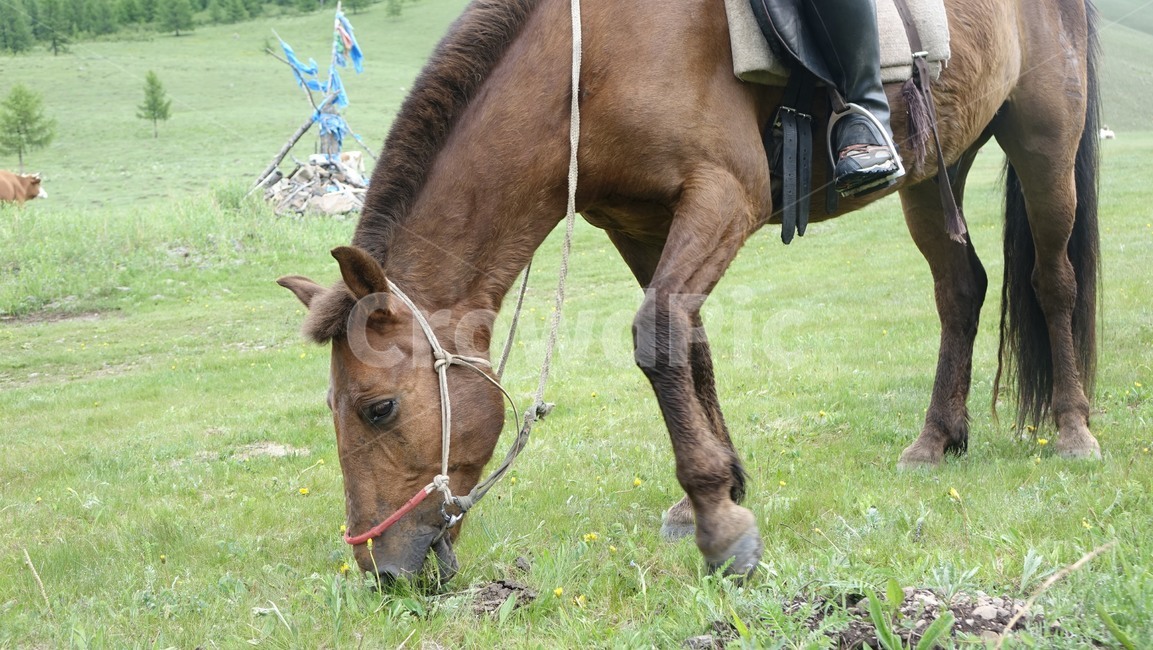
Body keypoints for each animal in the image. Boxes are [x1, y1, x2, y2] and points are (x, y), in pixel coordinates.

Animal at [279, 0, 1101, 581]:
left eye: (379, 408)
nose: (381, 571)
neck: (590, 63)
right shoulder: (639, 224)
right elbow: (689, 343)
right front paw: (722, 487)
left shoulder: (724, 194)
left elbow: (657, 334)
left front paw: (719, 523)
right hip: (936, 166)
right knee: (959, 289)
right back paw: (937, 438)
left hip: (1043, 136)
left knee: (1052, 281)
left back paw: (1072, 430)